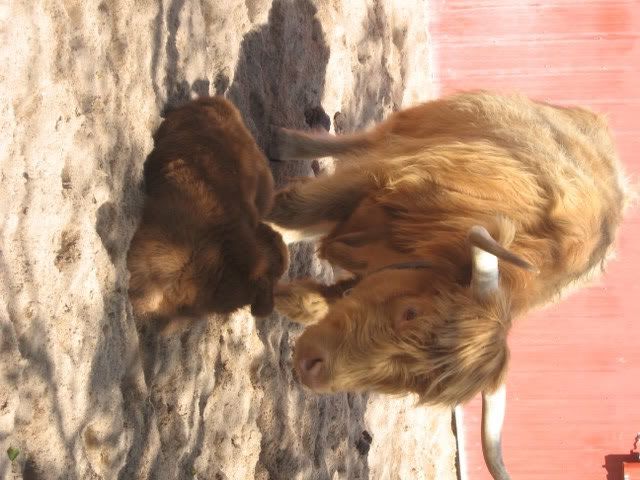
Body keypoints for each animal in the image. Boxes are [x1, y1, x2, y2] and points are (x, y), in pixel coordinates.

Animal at [267, 91, 629, 479]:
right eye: (411, 312)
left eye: (405, 385)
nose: (312, 369)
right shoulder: (378, 177)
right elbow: (289, 215)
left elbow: (319, 299)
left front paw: (281, 297)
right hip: (414, 127)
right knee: (360, 142)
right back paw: (284, 143)